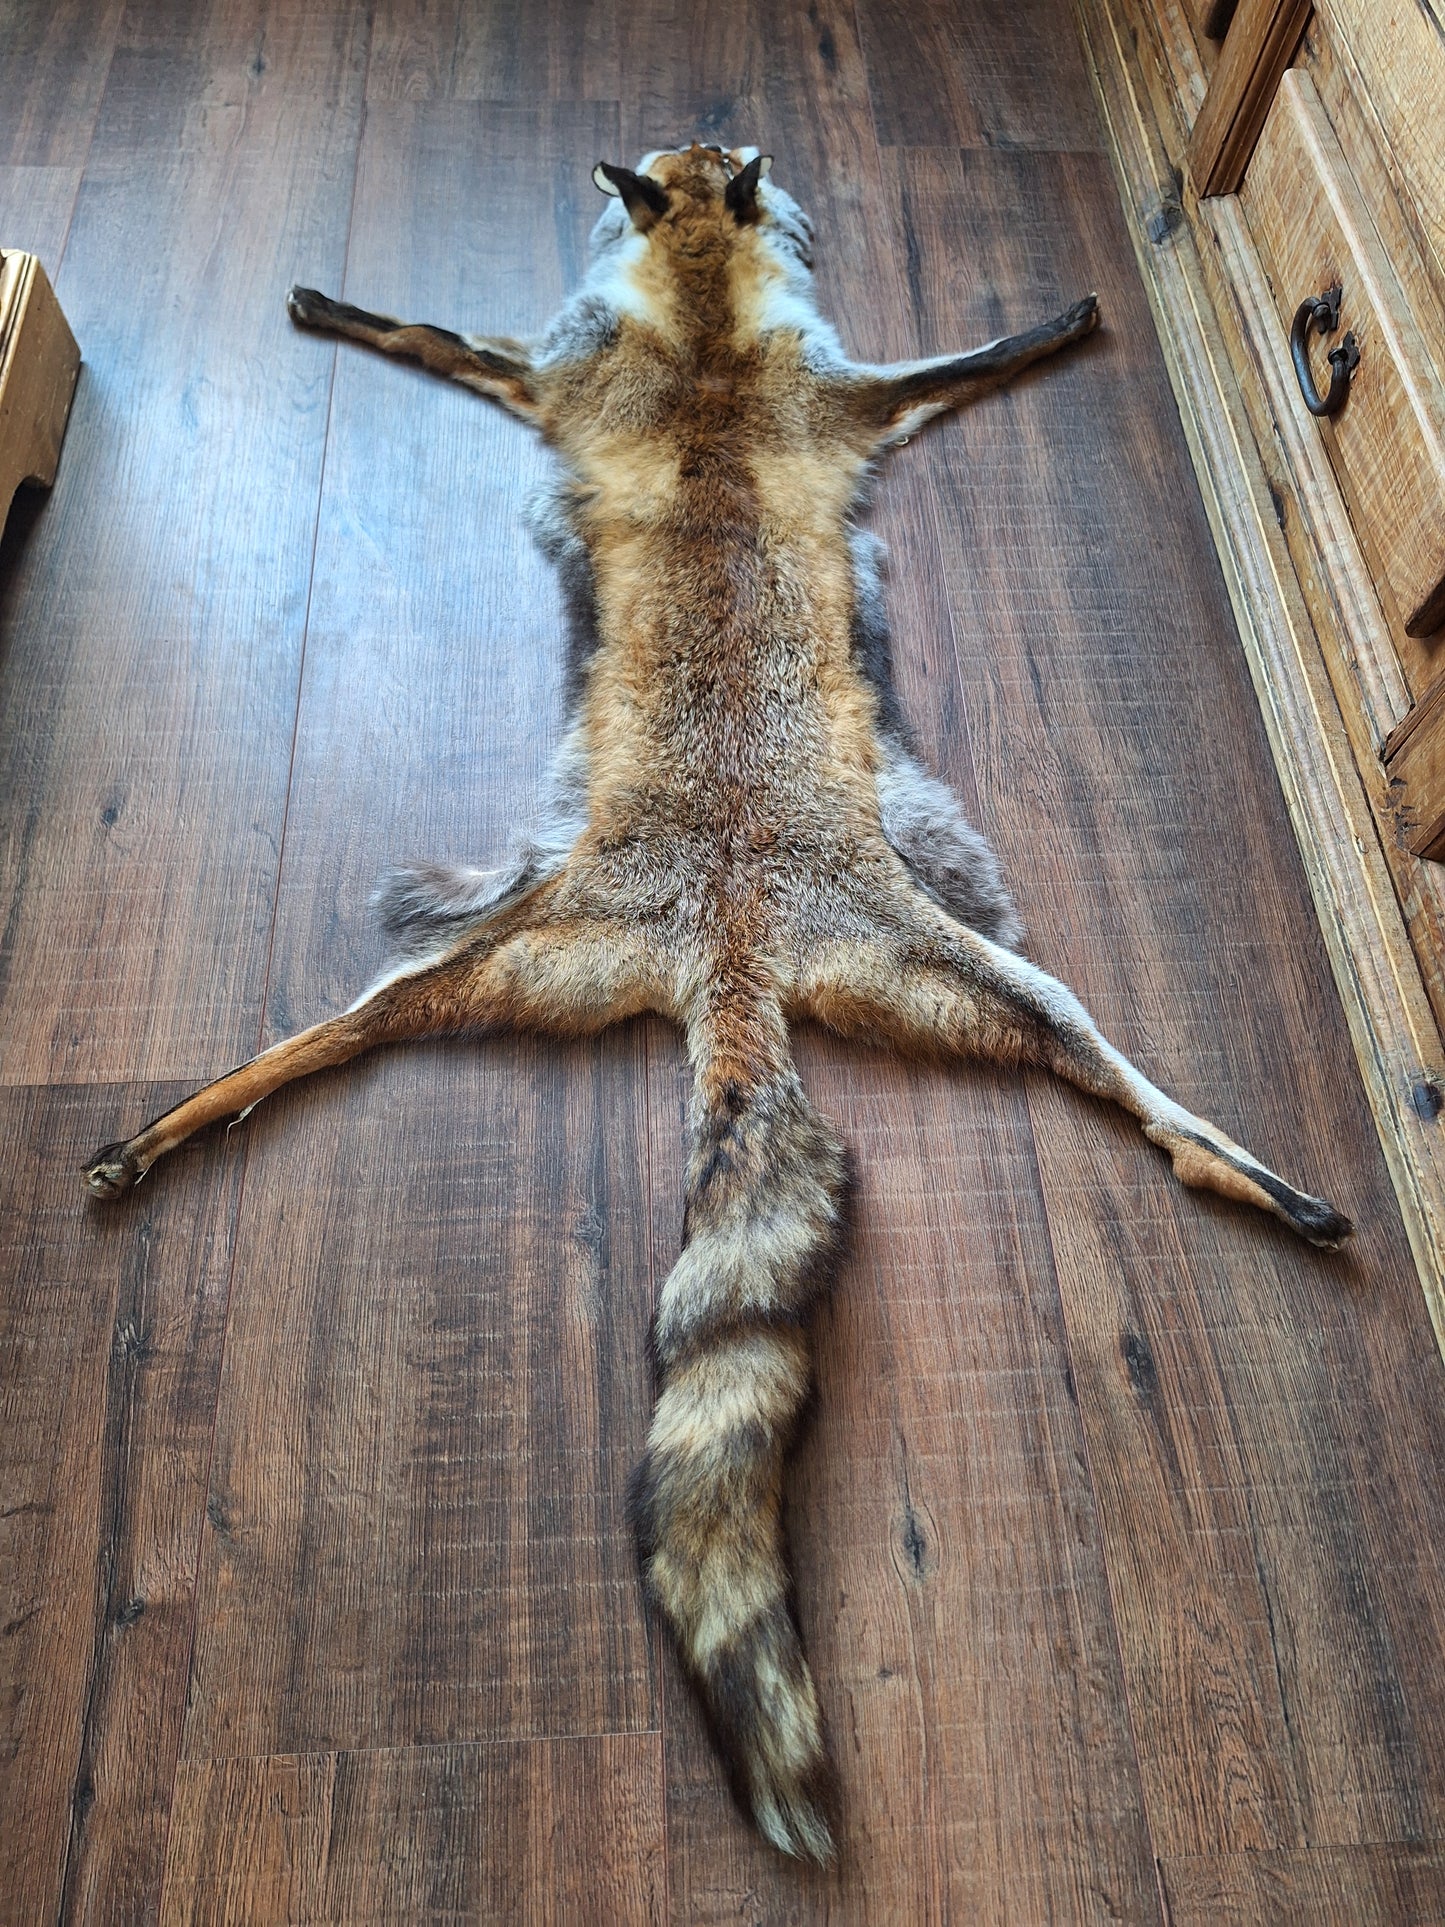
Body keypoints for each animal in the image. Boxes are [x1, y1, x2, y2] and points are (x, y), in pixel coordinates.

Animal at [85, 143, 1352, 1864]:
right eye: (688, 162)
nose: (713, 145)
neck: (695, 341)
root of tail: (736, 948)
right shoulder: (686, 388)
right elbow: (435, 334)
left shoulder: (771, 393)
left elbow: (957, 356)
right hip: (570, 961)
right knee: (331, 1034)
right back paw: (164, 1126)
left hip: (946, 980)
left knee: (1133, 1093)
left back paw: (1267, 1179)